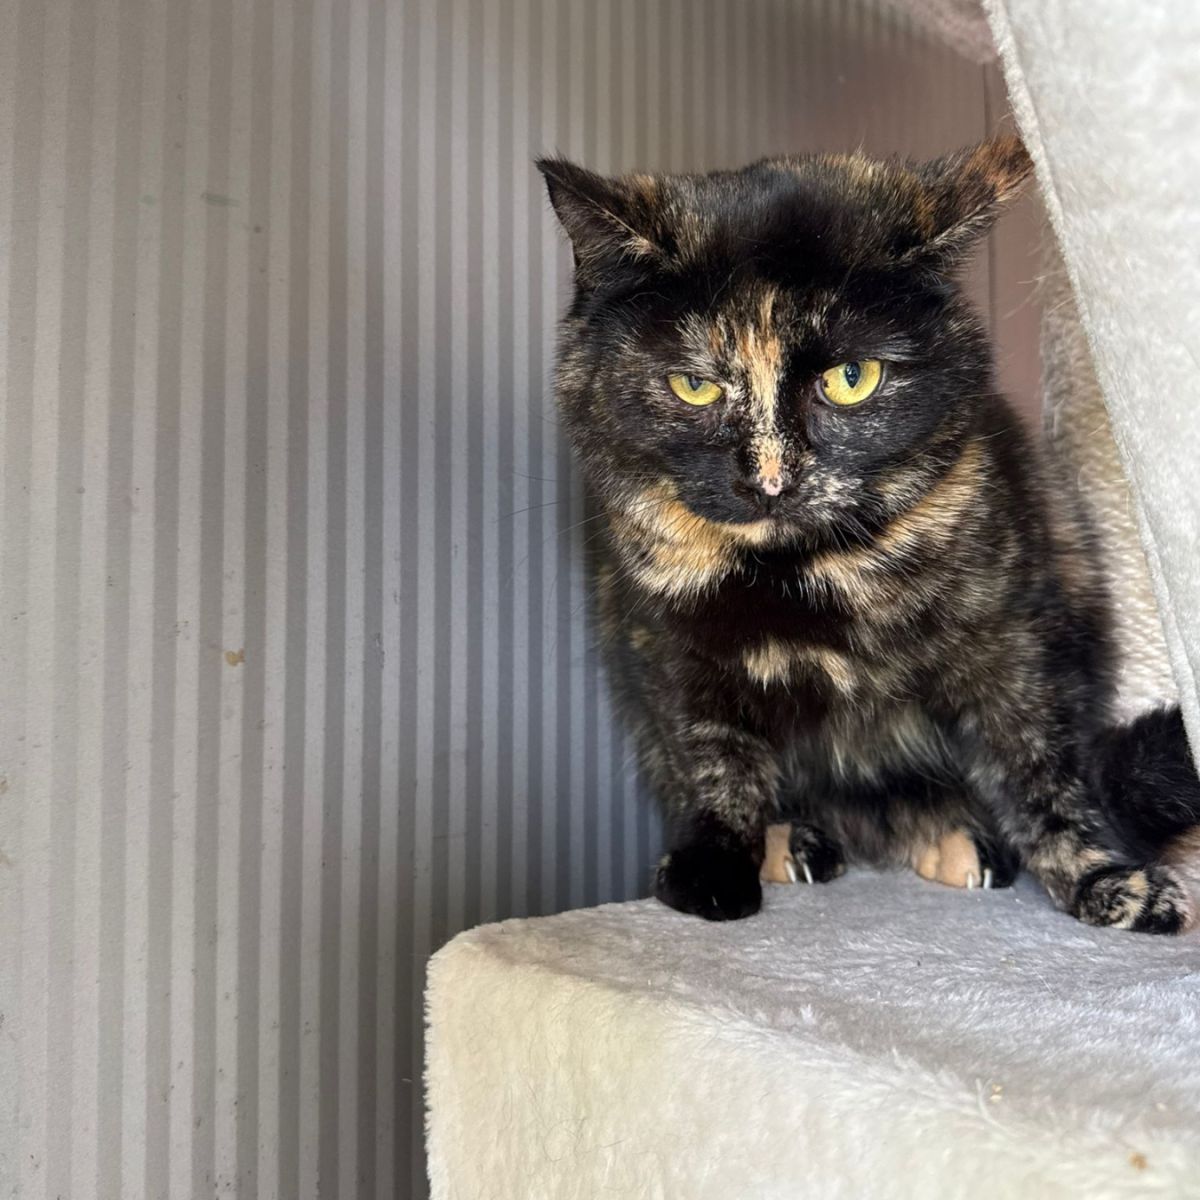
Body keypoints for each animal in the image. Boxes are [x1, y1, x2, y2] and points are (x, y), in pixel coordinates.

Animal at [538, 136, 1200, 933]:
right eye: (694, 386)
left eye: (852, 378)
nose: (771, 481)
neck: (802, 575)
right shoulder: (666, 648)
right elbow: (713, 757)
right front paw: (716, 866)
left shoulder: (1014, 639)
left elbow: (1042, 767)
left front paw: (1104, 878)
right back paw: (796, 843)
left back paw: (963, 847)